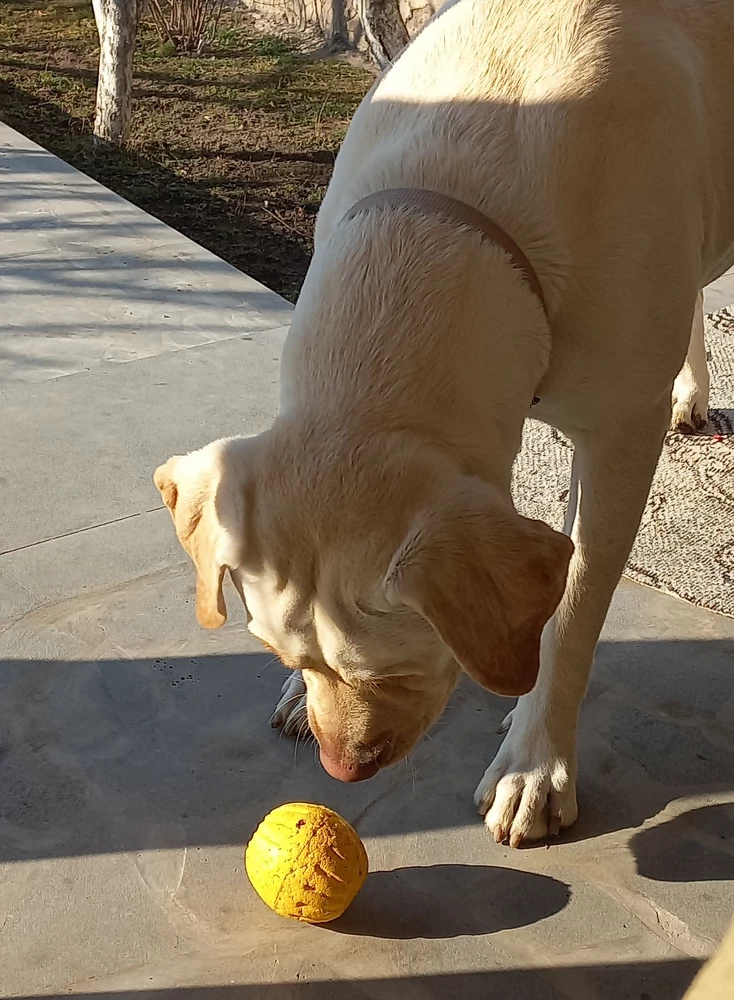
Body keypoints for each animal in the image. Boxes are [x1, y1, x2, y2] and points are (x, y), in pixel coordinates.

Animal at [155, 0, 734, 844]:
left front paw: (535, 763)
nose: (343, 770)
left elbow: (574, 610)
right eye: (287, 656)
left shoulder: (621, 434)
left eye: (396, 670)